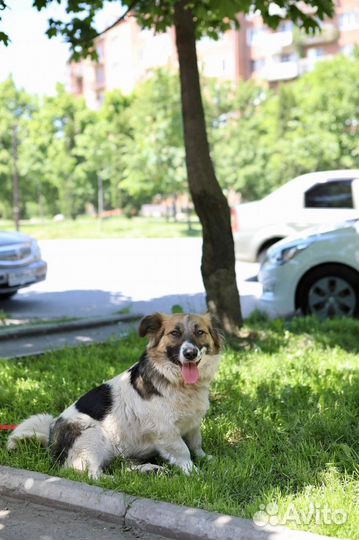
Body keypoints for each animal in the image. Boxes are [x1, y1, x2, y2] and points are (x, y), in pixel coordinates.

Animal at [7, 310, 222, 478]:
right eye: (175, 333)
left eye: (200, 332)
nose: (190, 353)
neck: (177, 382)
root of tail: (51, 434)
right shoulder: (166, 431)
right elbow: (183, 451)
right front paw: (194, 472)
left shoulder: (192, 424)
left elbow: (196, 444)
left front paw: (207, 459)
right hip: (93, 436)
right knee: (90, 473)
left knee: (120, 466)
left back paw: (149, 470)